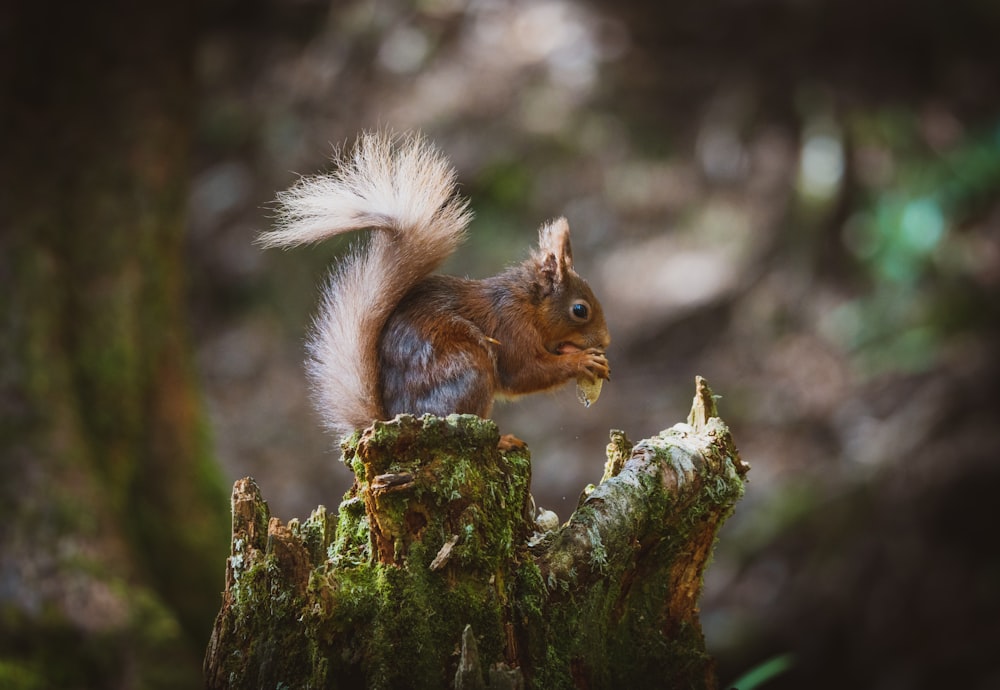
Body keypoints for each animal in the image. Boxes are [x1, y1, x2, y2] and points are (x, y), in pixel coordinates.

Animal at [260, 132, 608, 438]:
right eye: (580, 310)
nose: (605, 341)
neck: (528, 303)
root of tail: (393, 418)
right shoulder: (512, 328)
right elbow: (525, 372)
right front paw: (582, 361)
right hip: (468, 371)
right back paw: (503, 442)